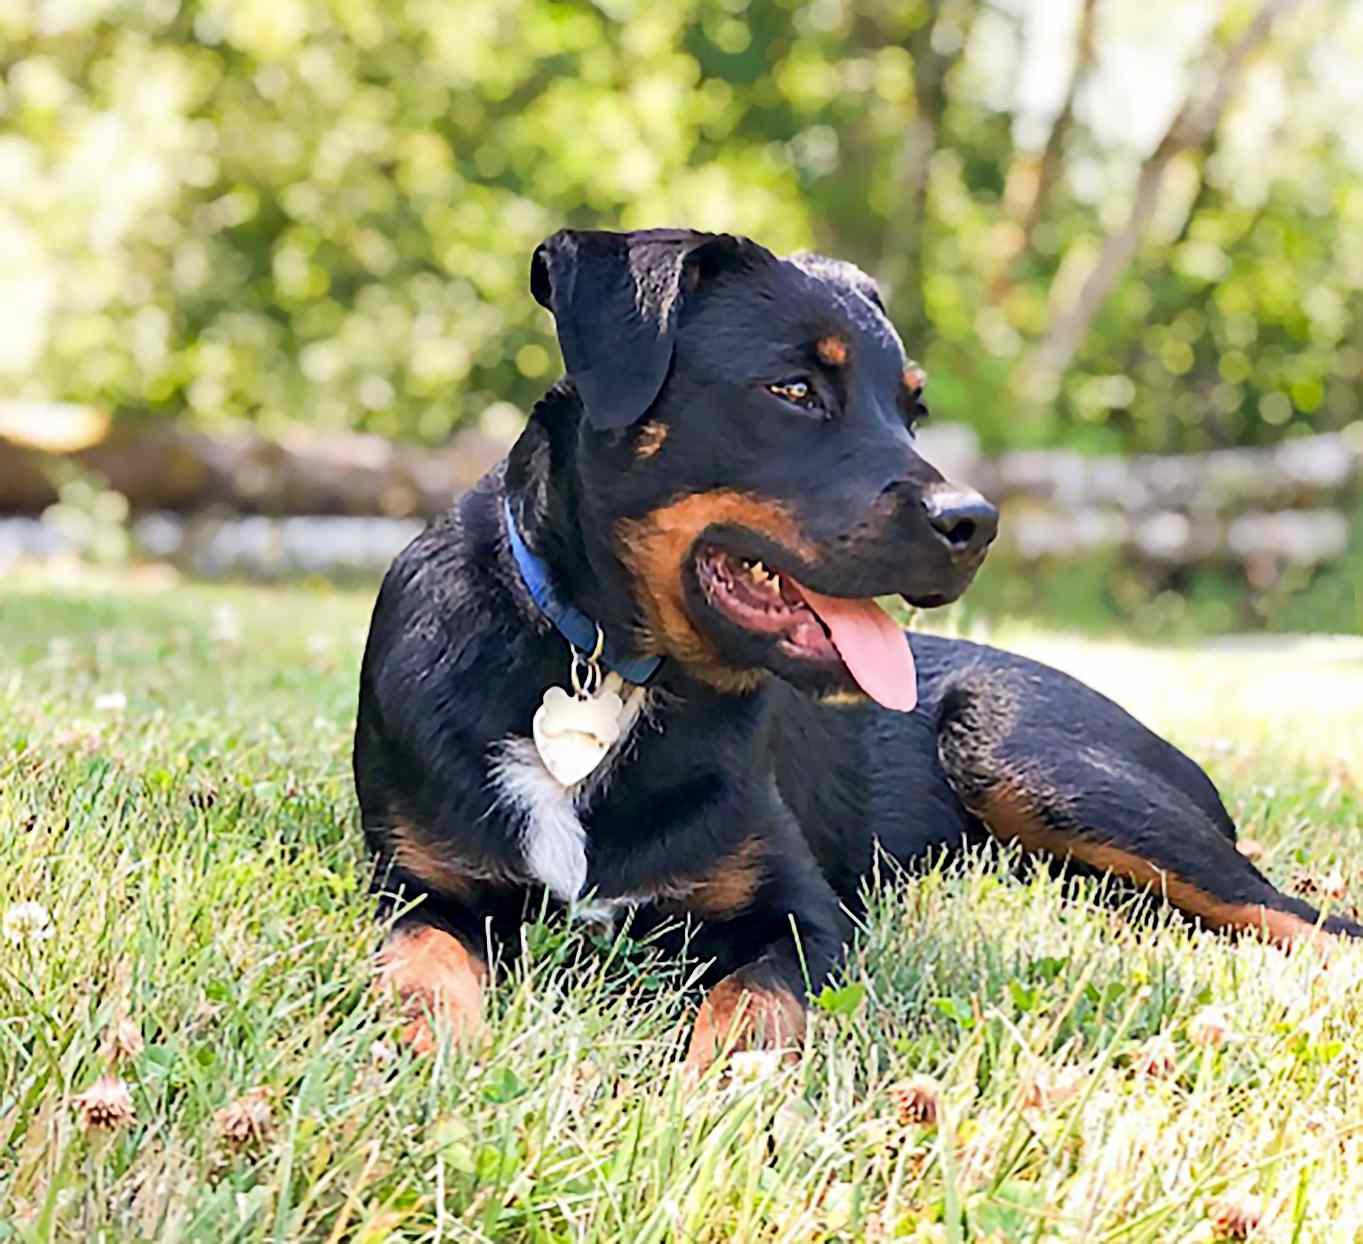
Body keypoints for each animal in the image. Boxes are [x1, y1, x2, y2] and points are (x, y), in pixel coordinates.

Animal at [348, 227, 1352, 1073]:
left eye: (913, 408)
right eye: (792, 390)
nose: (975, 523)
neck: (600, 665)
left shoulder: (797, 913)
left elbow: (750, 1010)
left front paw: (720, 1097)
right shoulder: (419, 884)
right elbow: (422, 965)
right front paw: (432, 1057)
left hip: (1026, 753)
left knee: (1304, 918)